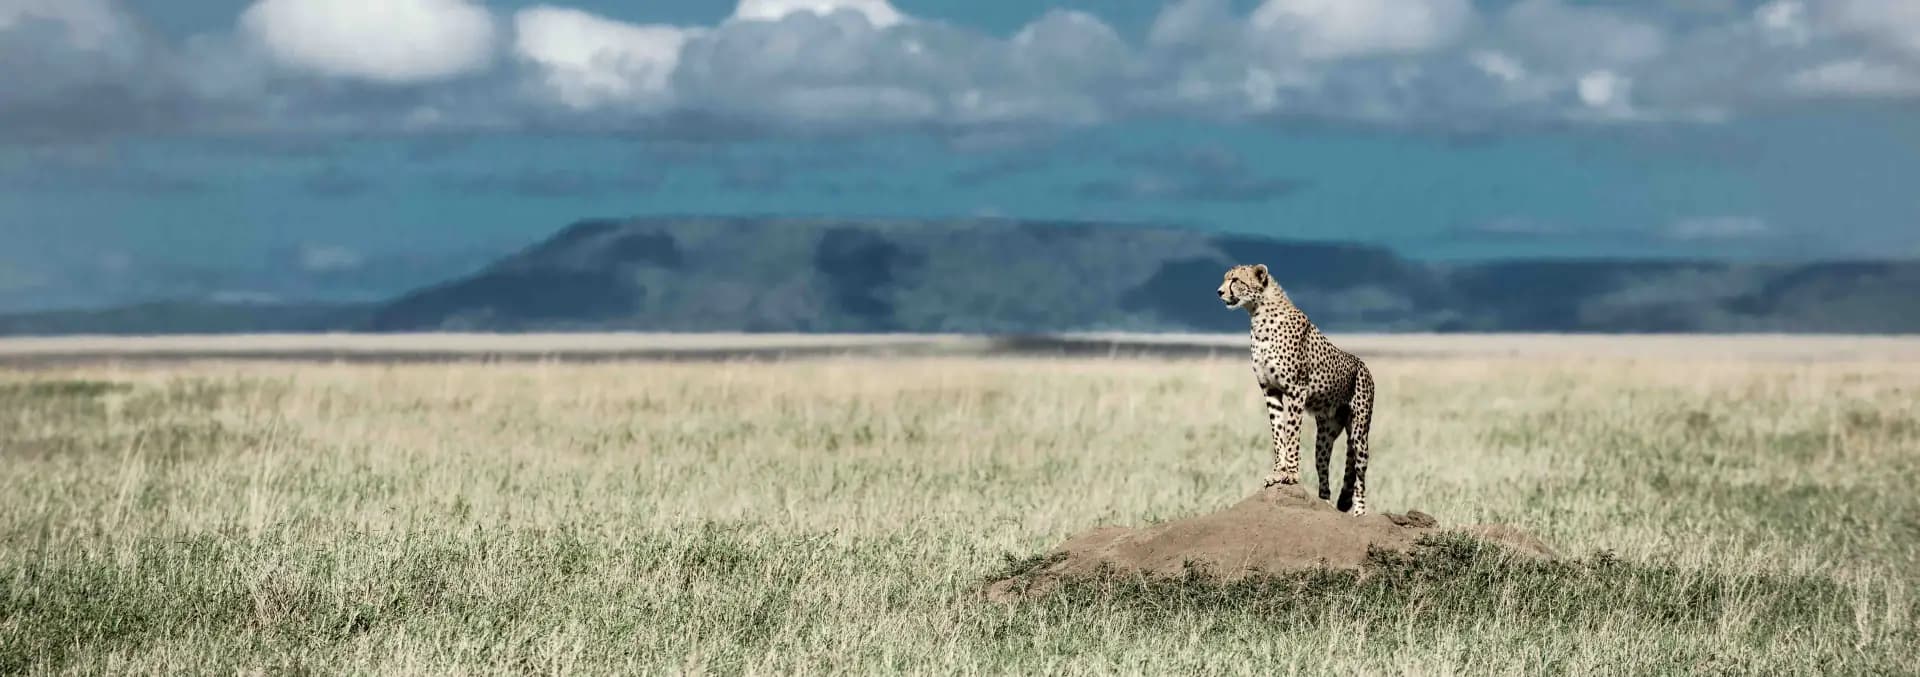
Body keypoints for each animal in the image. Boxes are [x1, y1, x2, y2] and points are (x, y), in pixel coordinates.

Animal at [1218, 263, 1378, 516]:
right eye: (1226, 279)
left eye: (1235, 280)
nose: (1219, 292)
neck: (1258, 314)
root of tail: (1363, 364)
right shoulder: (1270, 391)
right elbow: (1278, 433)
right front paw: (1277, 472)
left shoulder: (1296, 391)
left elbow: (1292, 433)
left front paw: (1291, 474)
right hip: (1325, 435)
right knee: (1324, 469)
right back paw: (1325, 503)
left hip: (1359, 432)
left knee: (1360, 474)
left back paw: (1360, 513)